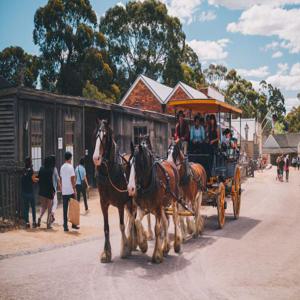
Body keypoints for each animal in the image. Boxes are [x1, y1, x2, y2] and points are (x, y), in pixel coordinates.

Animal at [93, 119, 135, 262]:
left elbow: (122, 225)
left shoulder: (120, 204)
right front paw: (106, 253)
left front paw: (125, 249)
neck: (109, 172)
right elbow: (106, 228)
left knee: (133, 218)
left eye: (105, 136)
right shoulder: (103, 203)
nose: (96, 158)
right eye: (96, 135)